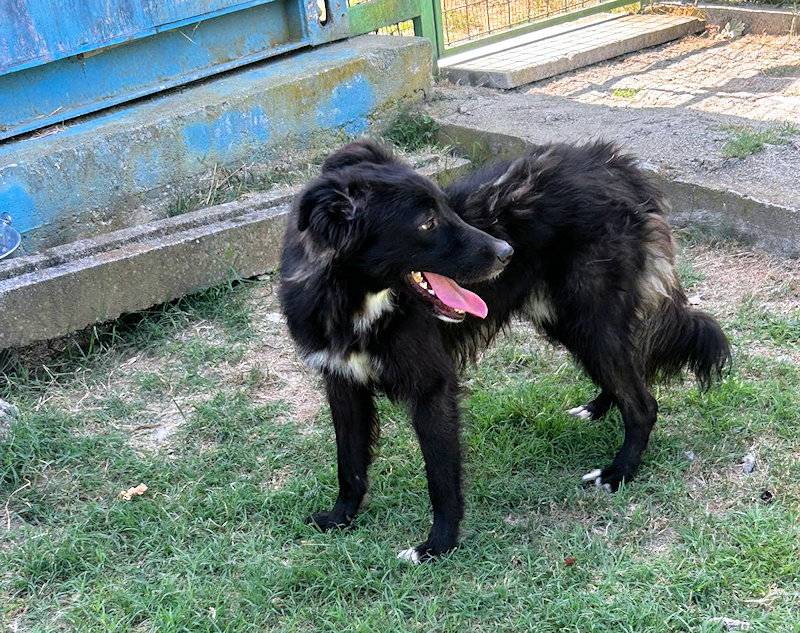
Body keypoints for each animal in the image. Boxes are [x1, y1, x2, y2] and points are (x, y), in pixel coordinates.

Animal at [279, 139, 730, 562]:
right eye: (427, 222)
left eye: (447, 209)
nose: (506, 253)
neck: (354, 301)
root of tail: (619, 166)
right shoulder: (342, 383)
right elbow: (349, 463)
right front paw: (340, 518)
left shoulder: (433, 389)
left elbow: (440, 479)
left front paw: (437, 547)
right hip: (571, 322)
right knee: (627, 374)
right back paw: (598, 408)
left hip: (589, 320)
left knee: (643, 402)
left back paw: (618, 472)